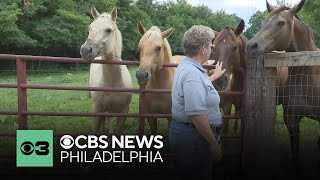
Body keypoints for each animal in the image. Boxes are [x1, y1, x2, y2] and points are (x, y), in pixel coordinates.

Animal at [80, 6, 132, 134]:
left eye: (108, 30)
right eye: (89, 29)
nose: (85, 50)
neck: (113, 82)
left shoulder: (123, 112)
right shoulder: (96, 110)